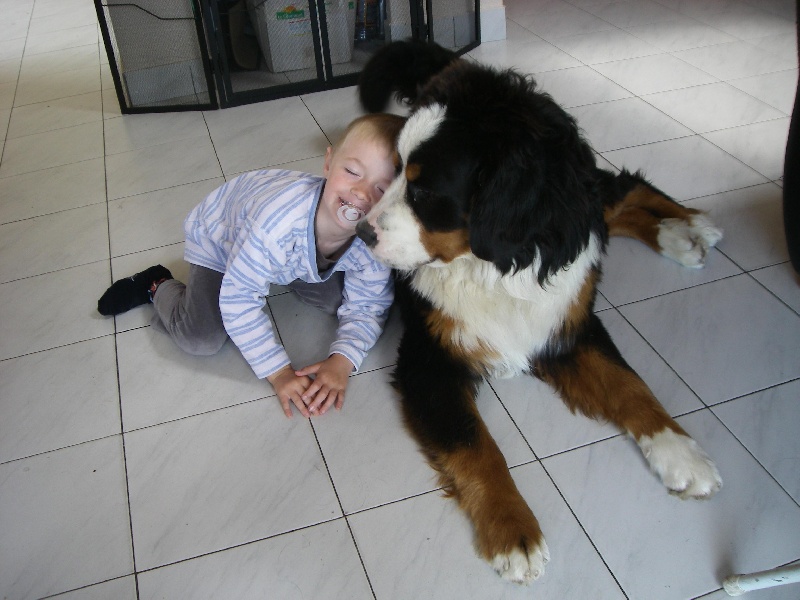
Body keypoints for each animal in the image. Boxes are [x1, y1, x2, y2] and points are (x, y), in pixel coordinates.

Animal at [355, 40, 723, 585]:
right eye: (393, 172)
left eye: (423, 194)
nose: (362, 233)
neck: (491, 267)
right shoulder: (429, 361)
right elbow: (477, 447)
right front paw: (514, 530)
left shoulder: (569, 324)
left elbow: (630, 386)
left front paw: (681, 452)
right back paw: (680, 234)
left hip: (580, 201)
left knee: (624, 188)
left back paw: (692, 222)